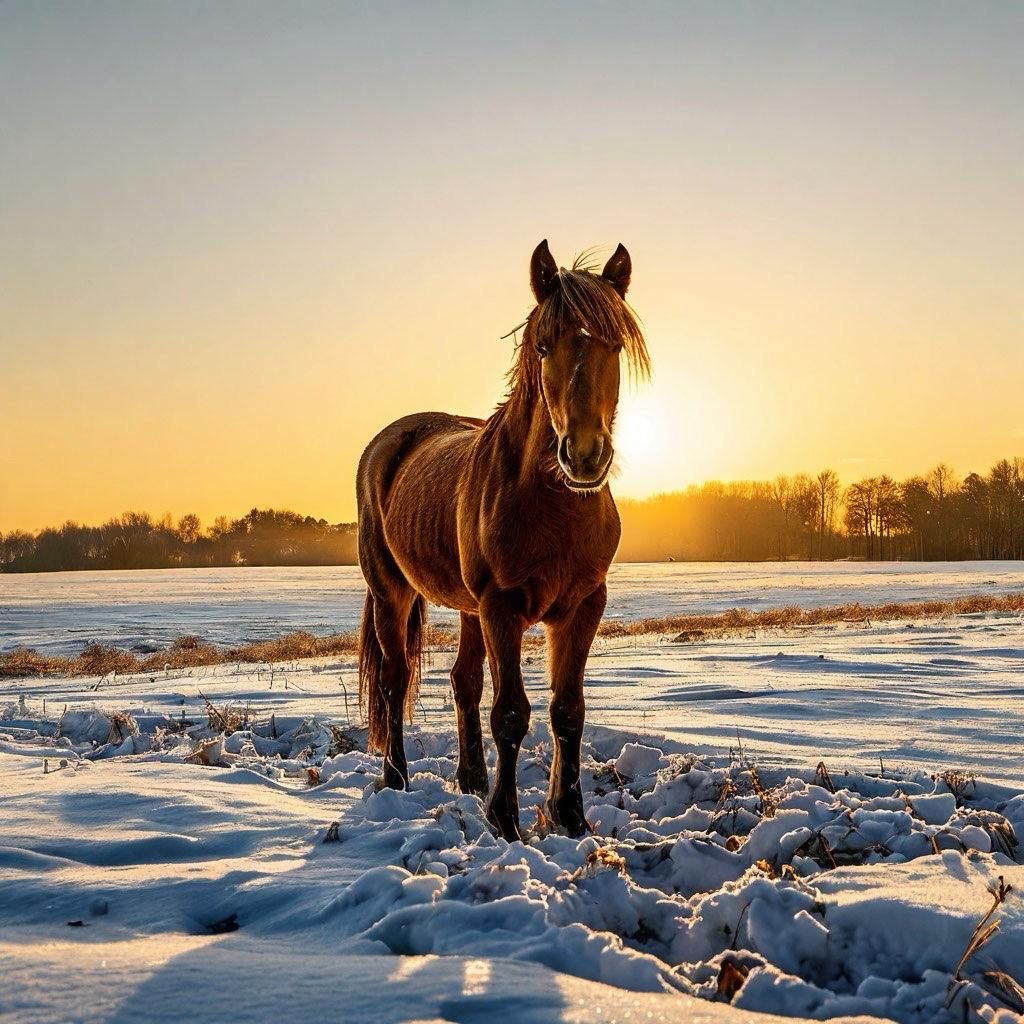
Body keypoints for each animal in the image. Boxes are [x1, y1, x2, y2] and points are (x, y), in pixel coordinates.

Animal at [358, 239, 647, 839]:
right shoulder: (503, 606)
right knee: (396, 680)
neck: (553, 506)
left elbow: (567, 710)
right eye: (542, 345)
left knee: (463, 680)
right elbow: (512, 712)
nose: (584, 454)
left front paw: (570, 817)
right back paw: (396, 778)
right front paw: (506, 821)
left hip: (469, 609)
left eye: (614, 345)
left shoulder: (583, 605)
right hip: (393, 594)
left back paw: (470, 779)